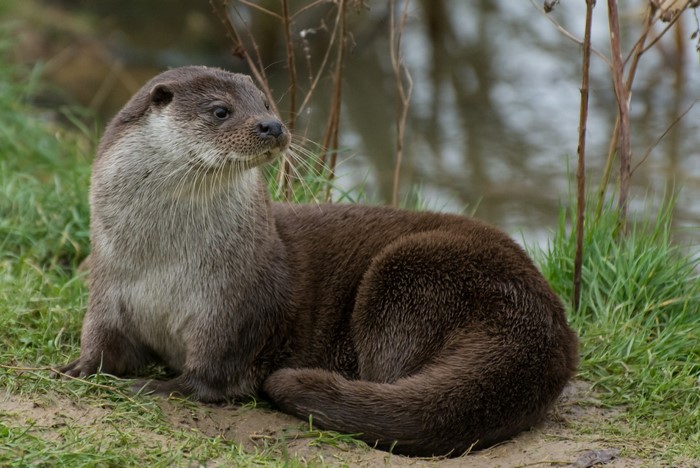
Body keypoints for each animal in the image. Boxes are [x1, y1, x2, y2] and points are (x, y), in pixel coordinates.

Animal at [59, 66, 578, 457]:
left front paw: (161, 388)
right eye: (221, 110)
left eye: (266, 103)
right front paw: (78, 367)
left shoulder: (235, 304)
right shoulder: (109, 285)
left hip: (411, 275)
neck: (165, 262)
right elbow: (103, 339)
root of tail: (547, 328)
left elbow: (212, 371)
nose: (272, 126)